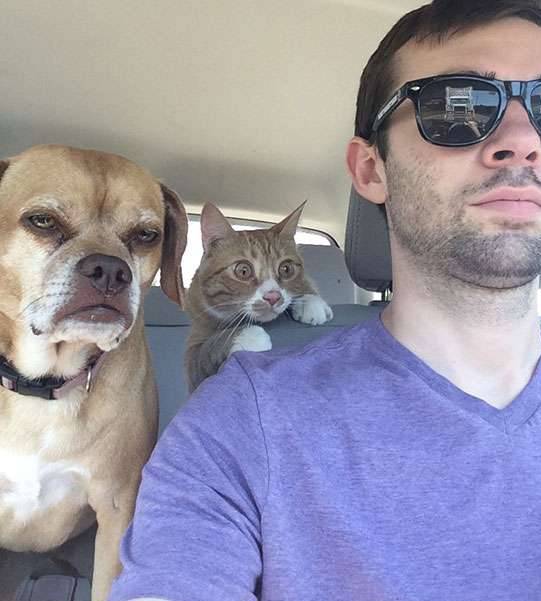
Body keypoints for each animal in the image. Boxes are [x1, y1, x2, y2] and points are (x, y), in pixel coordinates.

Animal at [184, 201, 333, 391]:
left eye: (286, 269)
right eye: (243, 271)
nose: (273, 297)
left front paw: (310, 302)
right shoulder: (192, 358)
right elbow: (209, 347)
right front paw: (248, 336)